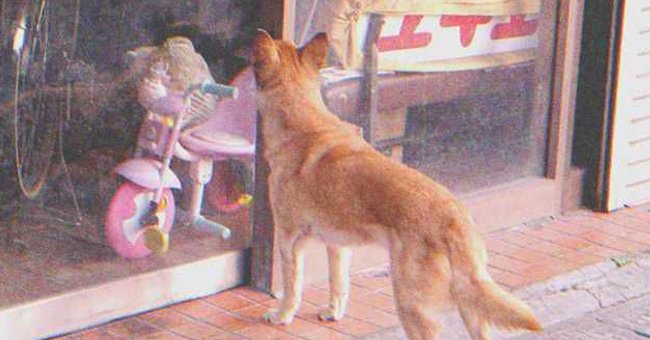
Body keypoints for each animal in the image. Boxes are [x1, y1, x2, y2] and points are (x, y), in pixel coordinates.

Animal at [251, 29, 540, 340]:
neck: (303, 120)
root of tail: (453, 217)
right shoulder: (338, 246)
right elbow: (338, 283)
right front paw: (333, 312)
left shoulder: (289, 240)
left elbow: (292, 288)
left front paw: (281, 316)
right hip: (470, 303)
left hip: (410, 303)